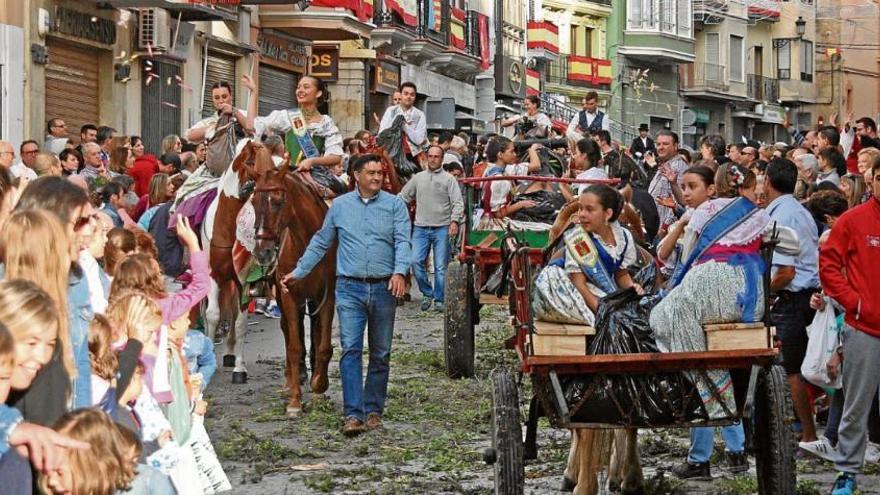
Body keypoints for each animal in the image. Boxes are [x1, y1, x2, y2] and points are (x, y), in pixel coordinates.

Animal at [253, 157, 338, 416]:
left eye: (278, 201)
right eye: (253, 202)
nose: (263, 252)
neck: (306, 241)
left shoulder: (327, 295)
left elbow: (323, 344)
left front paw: (319, 385)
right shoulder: (288, 294)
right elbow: (293, 346)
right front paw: (294, 401)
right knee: (290, 331)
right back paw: (292, 378)